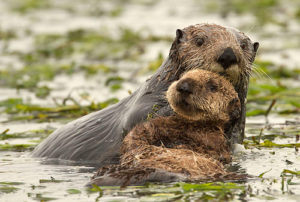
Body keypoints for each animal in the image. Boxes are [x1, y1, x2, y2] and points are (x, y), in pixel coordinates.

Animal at [90, 69, 243, 186]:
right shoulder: (158, 125)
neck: (189, 126)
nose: (184, 85)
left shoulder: (213, 140)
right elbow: (137, 136)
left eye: (213, 87)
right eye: (182, 76)